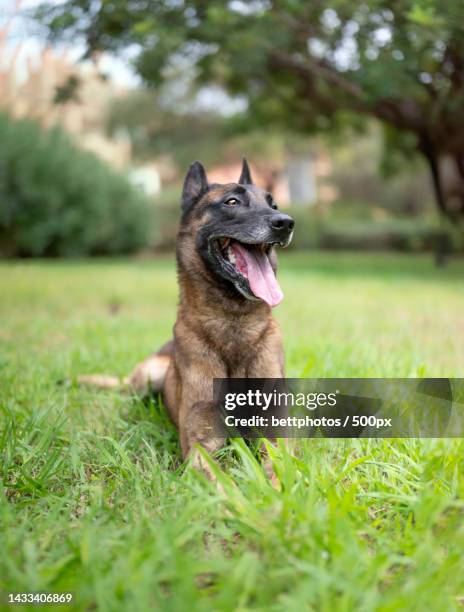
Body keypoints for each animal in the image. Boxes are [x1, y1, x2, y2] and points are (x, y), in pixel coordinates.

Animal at [79, 160, 294, 476]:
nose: (286, 222)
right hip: (148, 376)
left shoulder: (277, 439)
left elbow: (276, 473)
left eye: (273, 204)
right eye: (232, 201)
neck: (233, 324)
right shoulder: (201, 446)